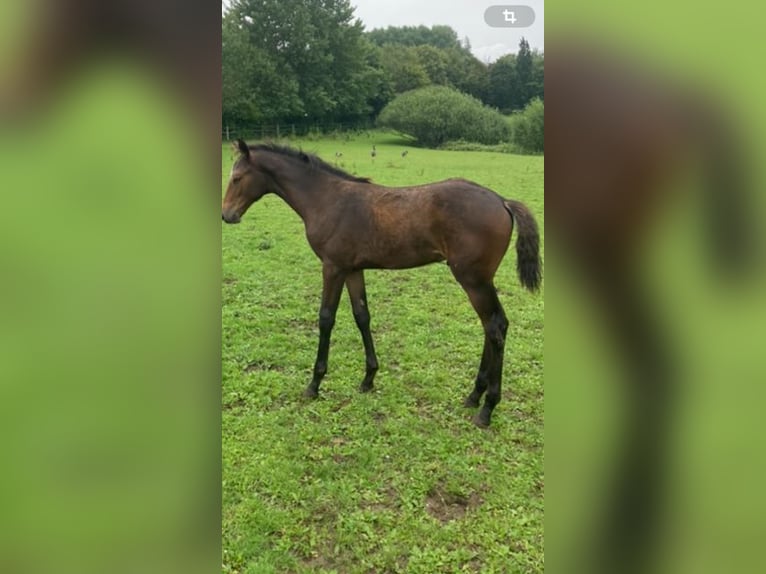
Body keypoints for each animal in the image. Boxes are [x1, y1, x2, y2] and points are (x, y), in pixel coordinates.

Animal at [222, 140, 544, 428]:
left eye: (236, 178)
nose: (227, 215)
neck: (326, 199)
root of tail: (502, 201)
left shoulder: (332, 267)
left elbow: (326, 319)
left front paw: (314, 384)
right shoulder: (352, 269)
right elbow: (361, 316)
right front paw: (368, 378)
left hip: (473, 279)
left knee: (494, 328)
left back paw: (487, 408)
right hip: (481, 280)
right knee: (495, 325)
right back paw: (474, 395)